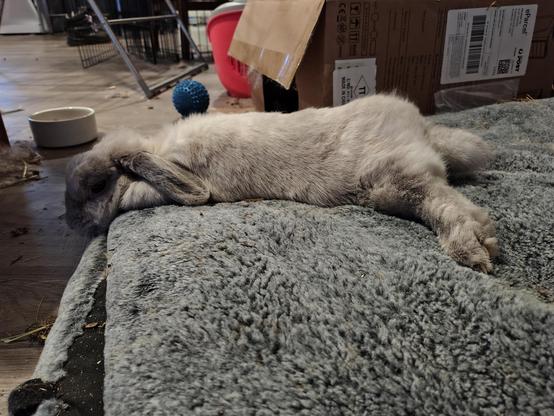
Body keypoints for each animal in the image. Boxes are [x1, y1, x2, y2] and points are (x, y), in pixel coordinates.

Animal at [65, 93, 498, 272]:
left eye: (98, 185)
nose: (71, 224)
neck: (157, 149)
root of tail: (421, 129)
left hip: (393, 179)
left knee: (450, 205)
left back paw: (474, 250)